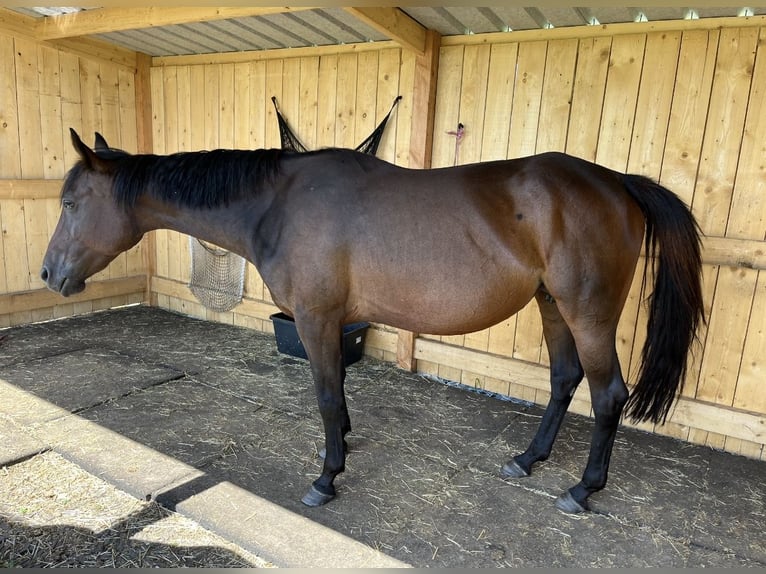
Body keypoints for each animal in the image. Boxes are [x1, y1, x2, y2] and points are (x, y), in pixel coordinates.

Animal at [42, 129, 704, 512]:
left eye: (71, 203)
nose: (49, 274)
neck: (278, 204)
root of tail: (617, 183)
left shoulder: (315, 319)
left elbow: (326, 397)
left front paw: (326, 478)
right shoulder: (333, 322)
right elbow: (339, 395)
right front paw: (343, 446)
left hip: (587, 313)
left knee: (608, 395)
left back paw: (582, 489)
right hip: (552, 306)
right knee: (565, 380)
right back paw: (528, 459)